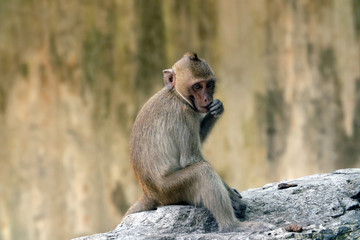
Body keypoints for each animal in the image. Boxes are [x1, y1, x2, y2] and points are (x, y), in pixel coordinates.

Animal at [125, 51, 249, 232]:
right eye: (197, 86)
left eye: (209, 84)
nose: (206, 99)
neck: (177, 95)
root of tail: (149, 193)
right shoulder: (185, 114)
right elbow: (192, 160)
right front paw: (235, 200)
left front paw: (216, 109)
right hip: (170, 190)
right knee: (202, 171)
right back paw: (232, 226)